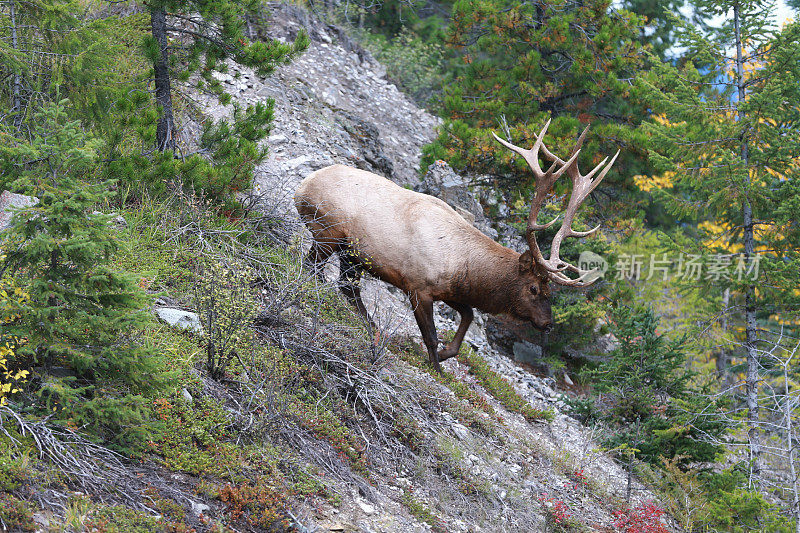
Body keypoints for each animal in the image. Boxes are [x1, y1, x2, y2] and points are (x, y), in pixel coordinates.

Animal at [296, 119, 620, 372]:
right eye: (533, 288)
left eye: (549, 288)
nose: (548, 323)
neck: (465, 266)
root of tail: (302, 187)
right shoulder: (418, 286)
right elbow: (430, 334)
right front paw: (436, 367)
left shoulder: (450, 291)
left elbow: (468, 316)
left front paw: (444, 354)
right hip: (328, 233)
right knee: (313, 268)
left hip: (352, 254)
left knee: (347, 287)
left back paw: (372, 327)